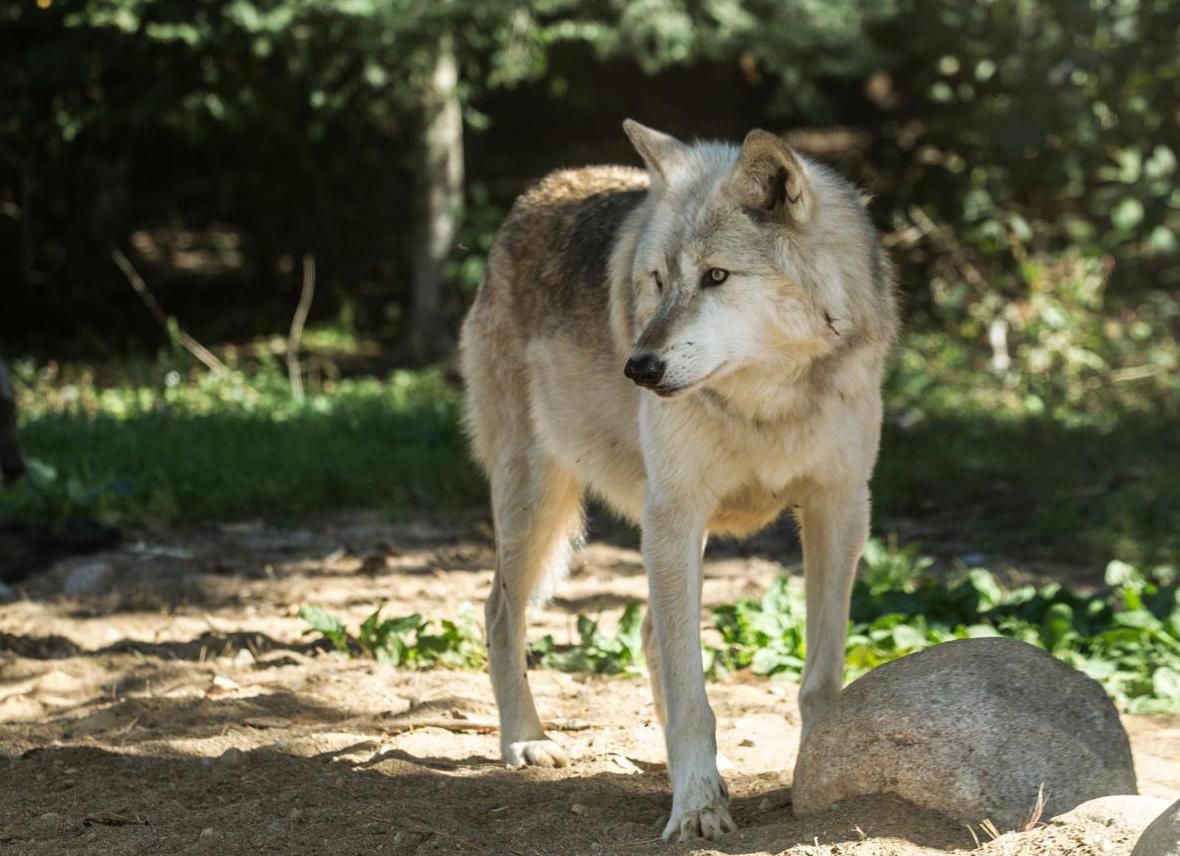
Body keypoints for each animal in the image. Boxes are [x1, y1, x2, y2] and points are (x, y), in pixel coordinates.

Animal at [455, 118, 896, 840]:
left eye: (716, 276)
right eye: (658, 281)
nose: (638, 367)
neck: (764, 403)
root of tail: (544, 187)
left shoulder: (840, 508)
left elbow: (820, 678)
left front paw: (818, 770)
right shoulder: (678, 510)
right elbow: (695, 696)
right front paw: (696, 809)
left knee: (644, 633)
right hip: (540, 501)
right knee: (500, 611)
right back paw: (526, 740)